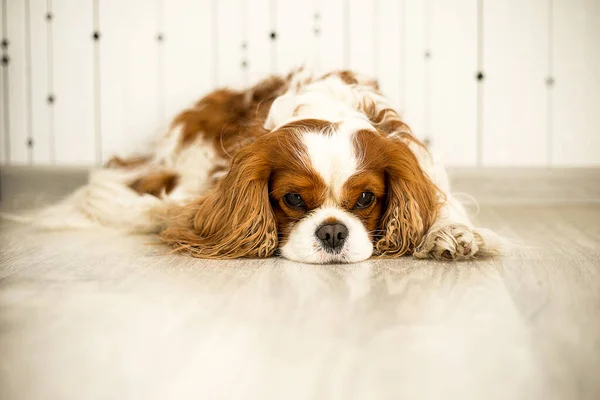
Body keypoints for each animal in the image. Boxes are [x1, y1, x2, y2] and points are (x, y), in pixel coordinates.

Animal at [14, 67, 502, 264]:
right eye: (293, 199)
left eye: (366, 198)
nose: (332, 232)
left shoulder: (420, 166)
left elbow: (442, 203)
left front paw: (452, 233)